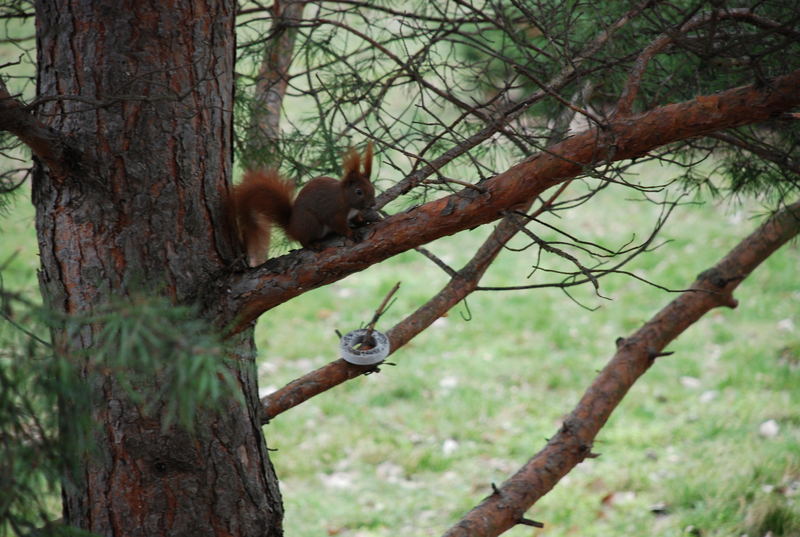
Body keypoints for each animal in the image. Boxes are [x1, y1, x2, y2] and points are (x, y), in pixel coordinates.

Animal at [233, 142, 376, 266]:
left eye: (372, 186)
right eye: (359, 192)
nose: (373, 204)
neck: (346, 200)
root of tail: (292, 228)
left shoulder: (354, 213)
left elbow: (357, 219)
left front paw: (363, 221)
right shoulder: (334, 212)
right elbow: (339, 225)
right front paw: (351, 233)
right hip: (311, 223)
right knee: (303, 241)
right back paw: (312, 244)